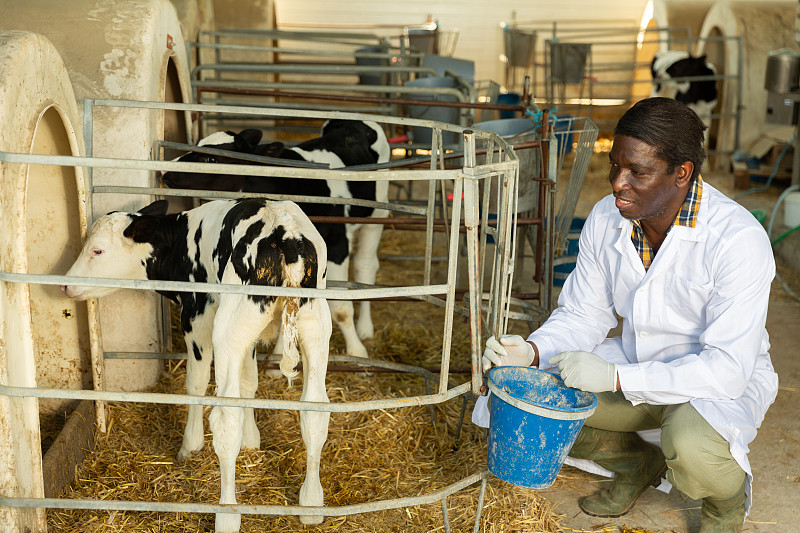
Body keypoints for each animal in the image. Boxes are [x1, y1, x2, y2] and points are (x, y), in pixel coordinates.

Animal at [61, 200, 332, 532]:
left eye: (97, 250)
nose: (66, 285)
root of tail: (287, 234)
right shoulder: (247, 336)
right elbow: (248, 381)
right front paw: (251, 440)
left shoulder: (197, 317)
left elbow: (196, 384)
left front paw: (190, 446)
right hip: (312, 327)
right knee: (315, 411)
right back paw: (311, 503)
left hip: (228, 328)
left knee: (226, 417)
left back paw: (227, 513)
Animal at [162, 119, 390, 362]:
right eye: (197, 145)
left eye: (212, 159)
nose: (165, 170)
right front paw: (281, 354)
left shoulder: (337, 244)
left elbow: (341, 309)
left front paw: (357, 351)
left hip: (377, 216)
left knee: (365, 266)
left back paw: (365, 329)